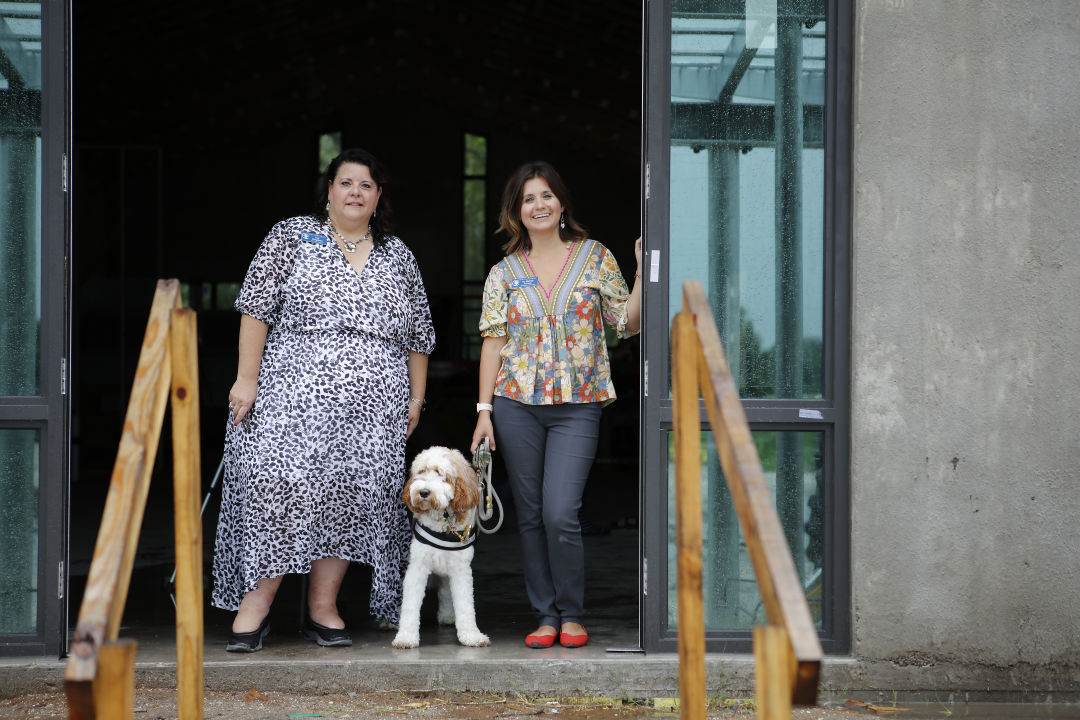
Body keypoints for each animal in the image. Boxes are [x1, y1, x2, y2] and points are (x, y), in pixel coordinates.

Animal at [393, 444, 490, 647]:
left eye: (440, 473)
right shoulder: (417, 566)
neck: (442, 520)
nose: (423, 492)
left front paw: (471, 635)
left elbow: (465, 604)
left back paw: (447, 615)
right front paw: (406, 636)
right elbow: (410, 604)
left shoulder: (460, 569)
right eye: (421, 472)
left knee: (445, 590)